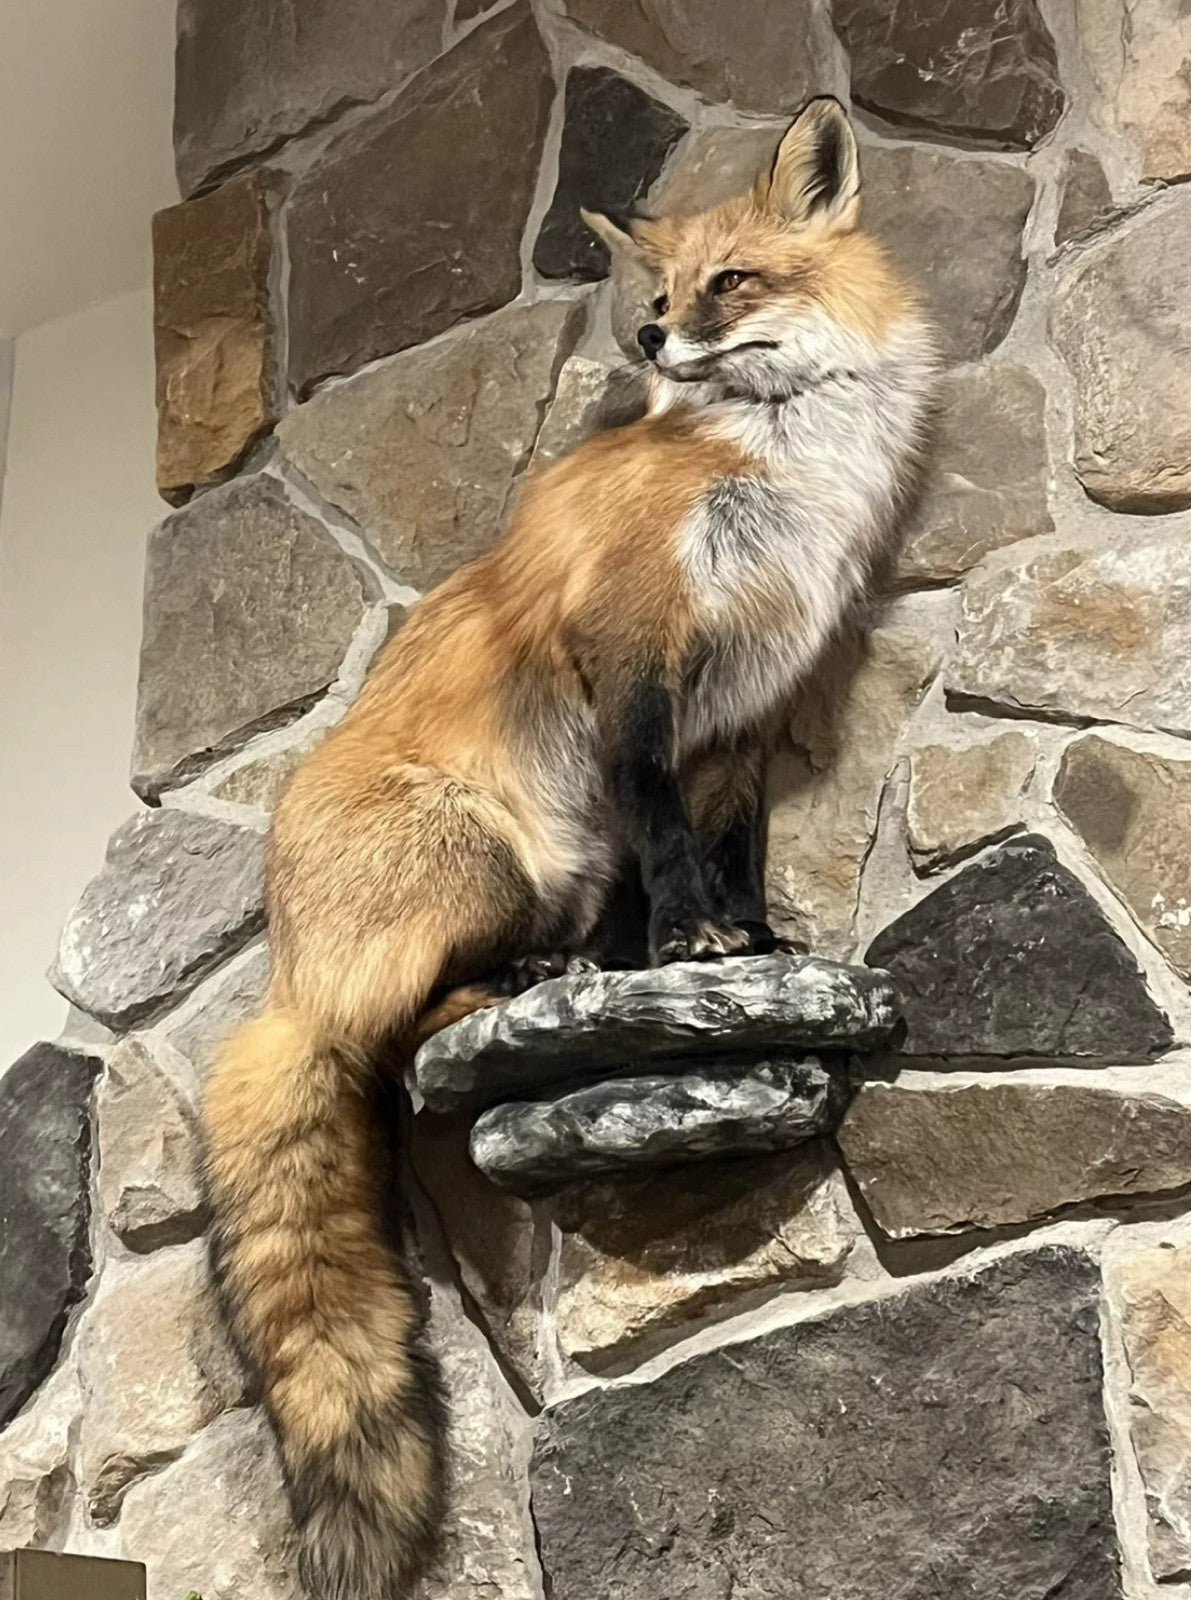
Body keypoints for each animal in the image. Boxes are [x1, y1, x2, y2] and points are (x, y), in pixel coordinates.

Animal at [202, 95, 937, 1600]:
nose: (647, 345)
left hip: (555, 866)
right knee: (402, 1037)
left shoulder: (747, 699)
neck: (773, 473)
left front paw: (746, 939)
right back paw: (536, 981)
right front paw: (692, 944)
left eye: (730, 283)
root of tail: (287, 976)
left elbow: (729, 841)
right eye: (655, 300)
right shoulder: (631, 652)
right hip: (485, 863)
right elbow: (660, 819)